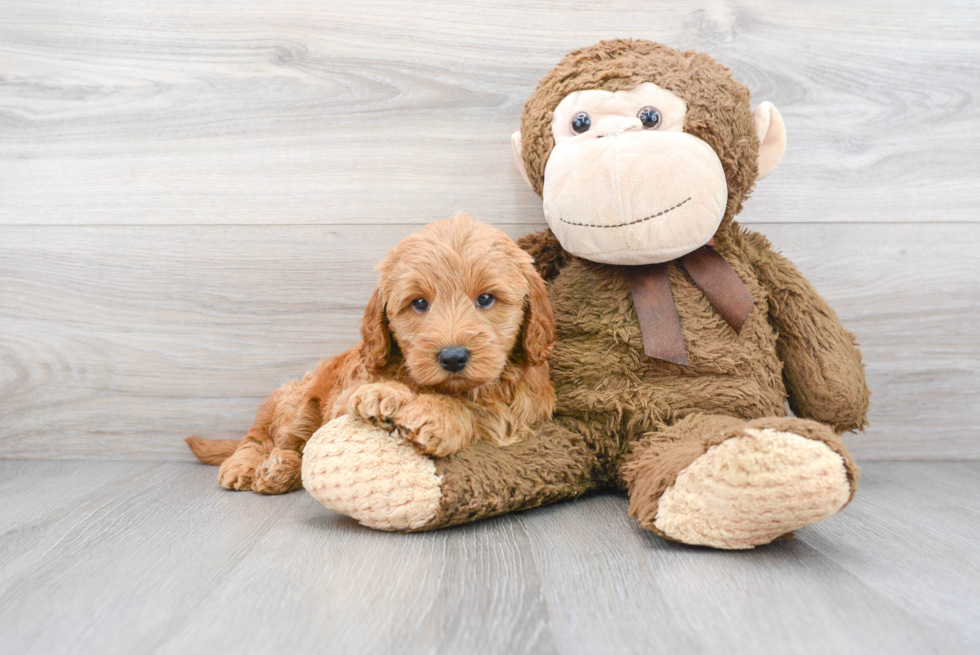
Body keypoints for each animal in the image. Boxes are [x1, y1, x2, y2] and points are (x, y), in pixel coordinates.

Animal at [188, 213, 556, 494]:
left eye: (486, 299)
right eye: (419, 303)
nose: (452, 357)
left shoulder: (518, 411)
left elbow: (480, 414)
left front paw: (434, 415)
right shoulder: (342, 396)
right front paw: (383, 394)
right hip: (299, 403)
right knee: (266, 439)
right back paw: (255, 465)